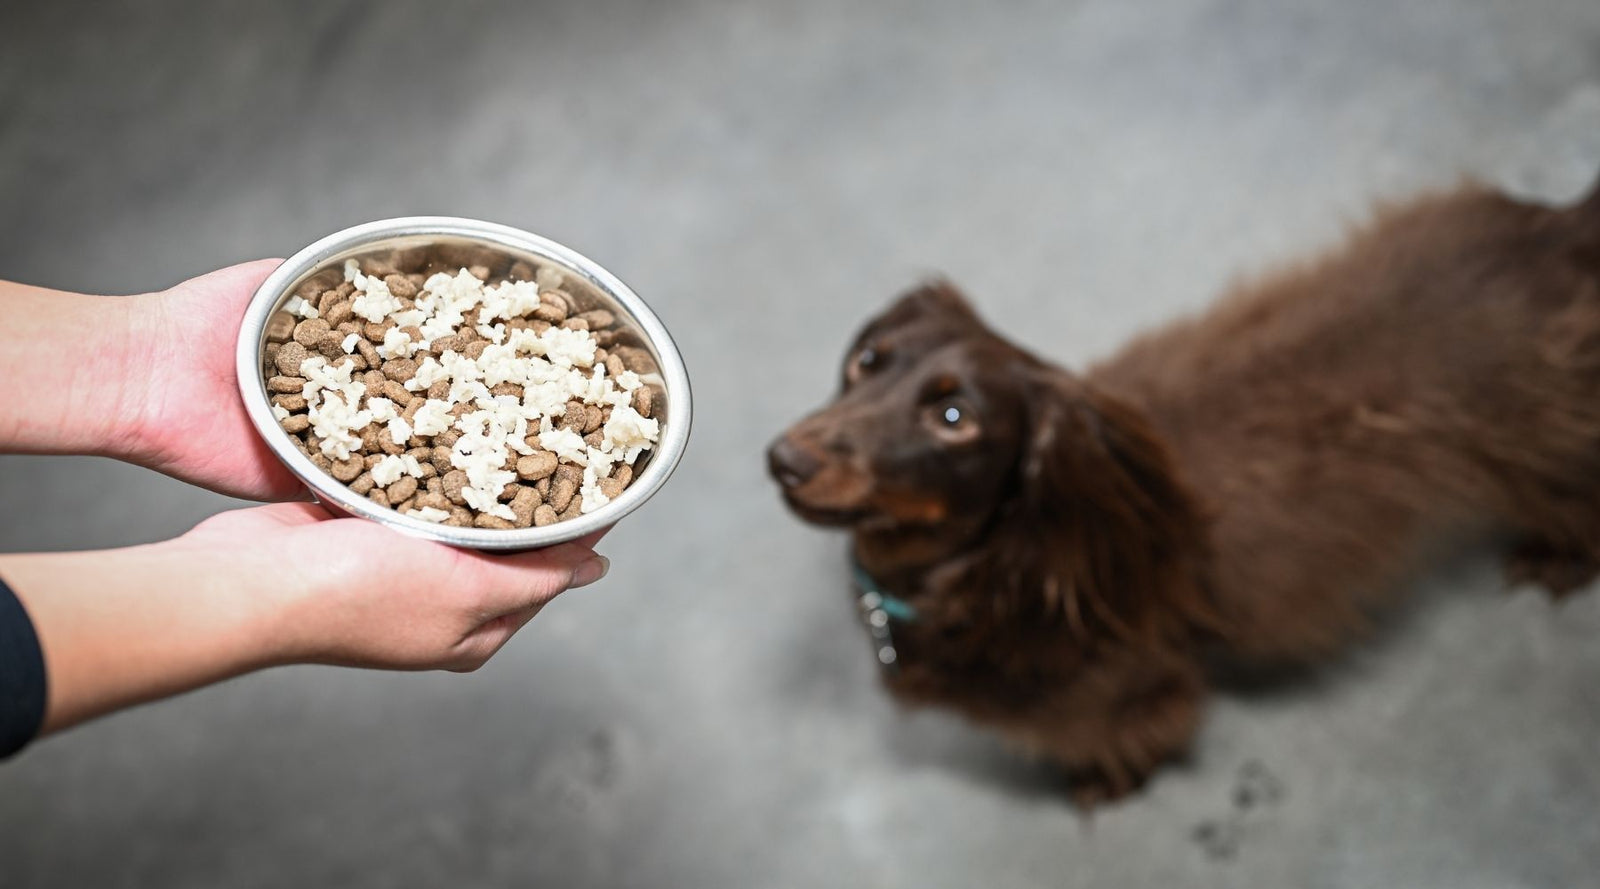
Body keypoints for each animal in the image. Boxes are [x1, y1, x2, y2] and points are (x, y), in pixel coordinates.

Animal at [761, 180, 1600, 805]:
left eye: (954, 418)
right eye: (868, 358)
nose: (783, 460)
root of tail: (1562, 229)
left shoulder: (1128, 694)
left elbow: (1129, 733)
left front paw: (1102, 783)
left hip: (1543, 454)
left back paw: (1555, 559)